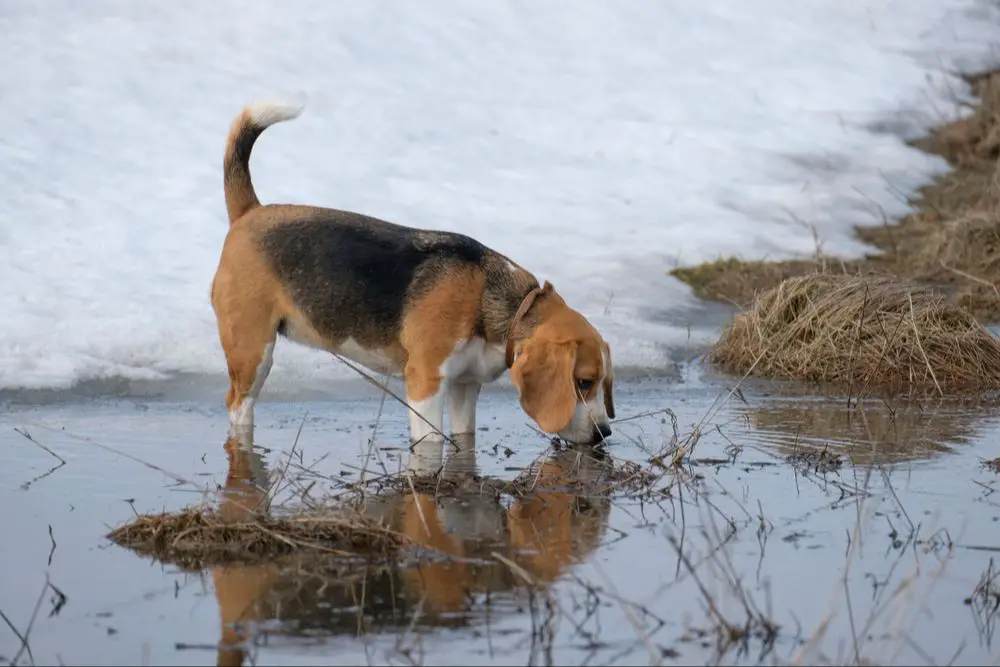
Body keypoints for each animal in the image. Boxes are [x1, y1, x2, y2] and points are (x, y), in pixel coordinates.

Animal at [211, 102, 612, 446]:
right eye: (583, 381)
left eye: (603, 382)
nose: (604, 434)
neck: (497, 300)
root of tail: (250, 212)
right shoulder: (425, 383)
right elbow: (431, 440)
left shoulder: (465, 387)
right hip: (253, 352)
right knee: (238, 403)